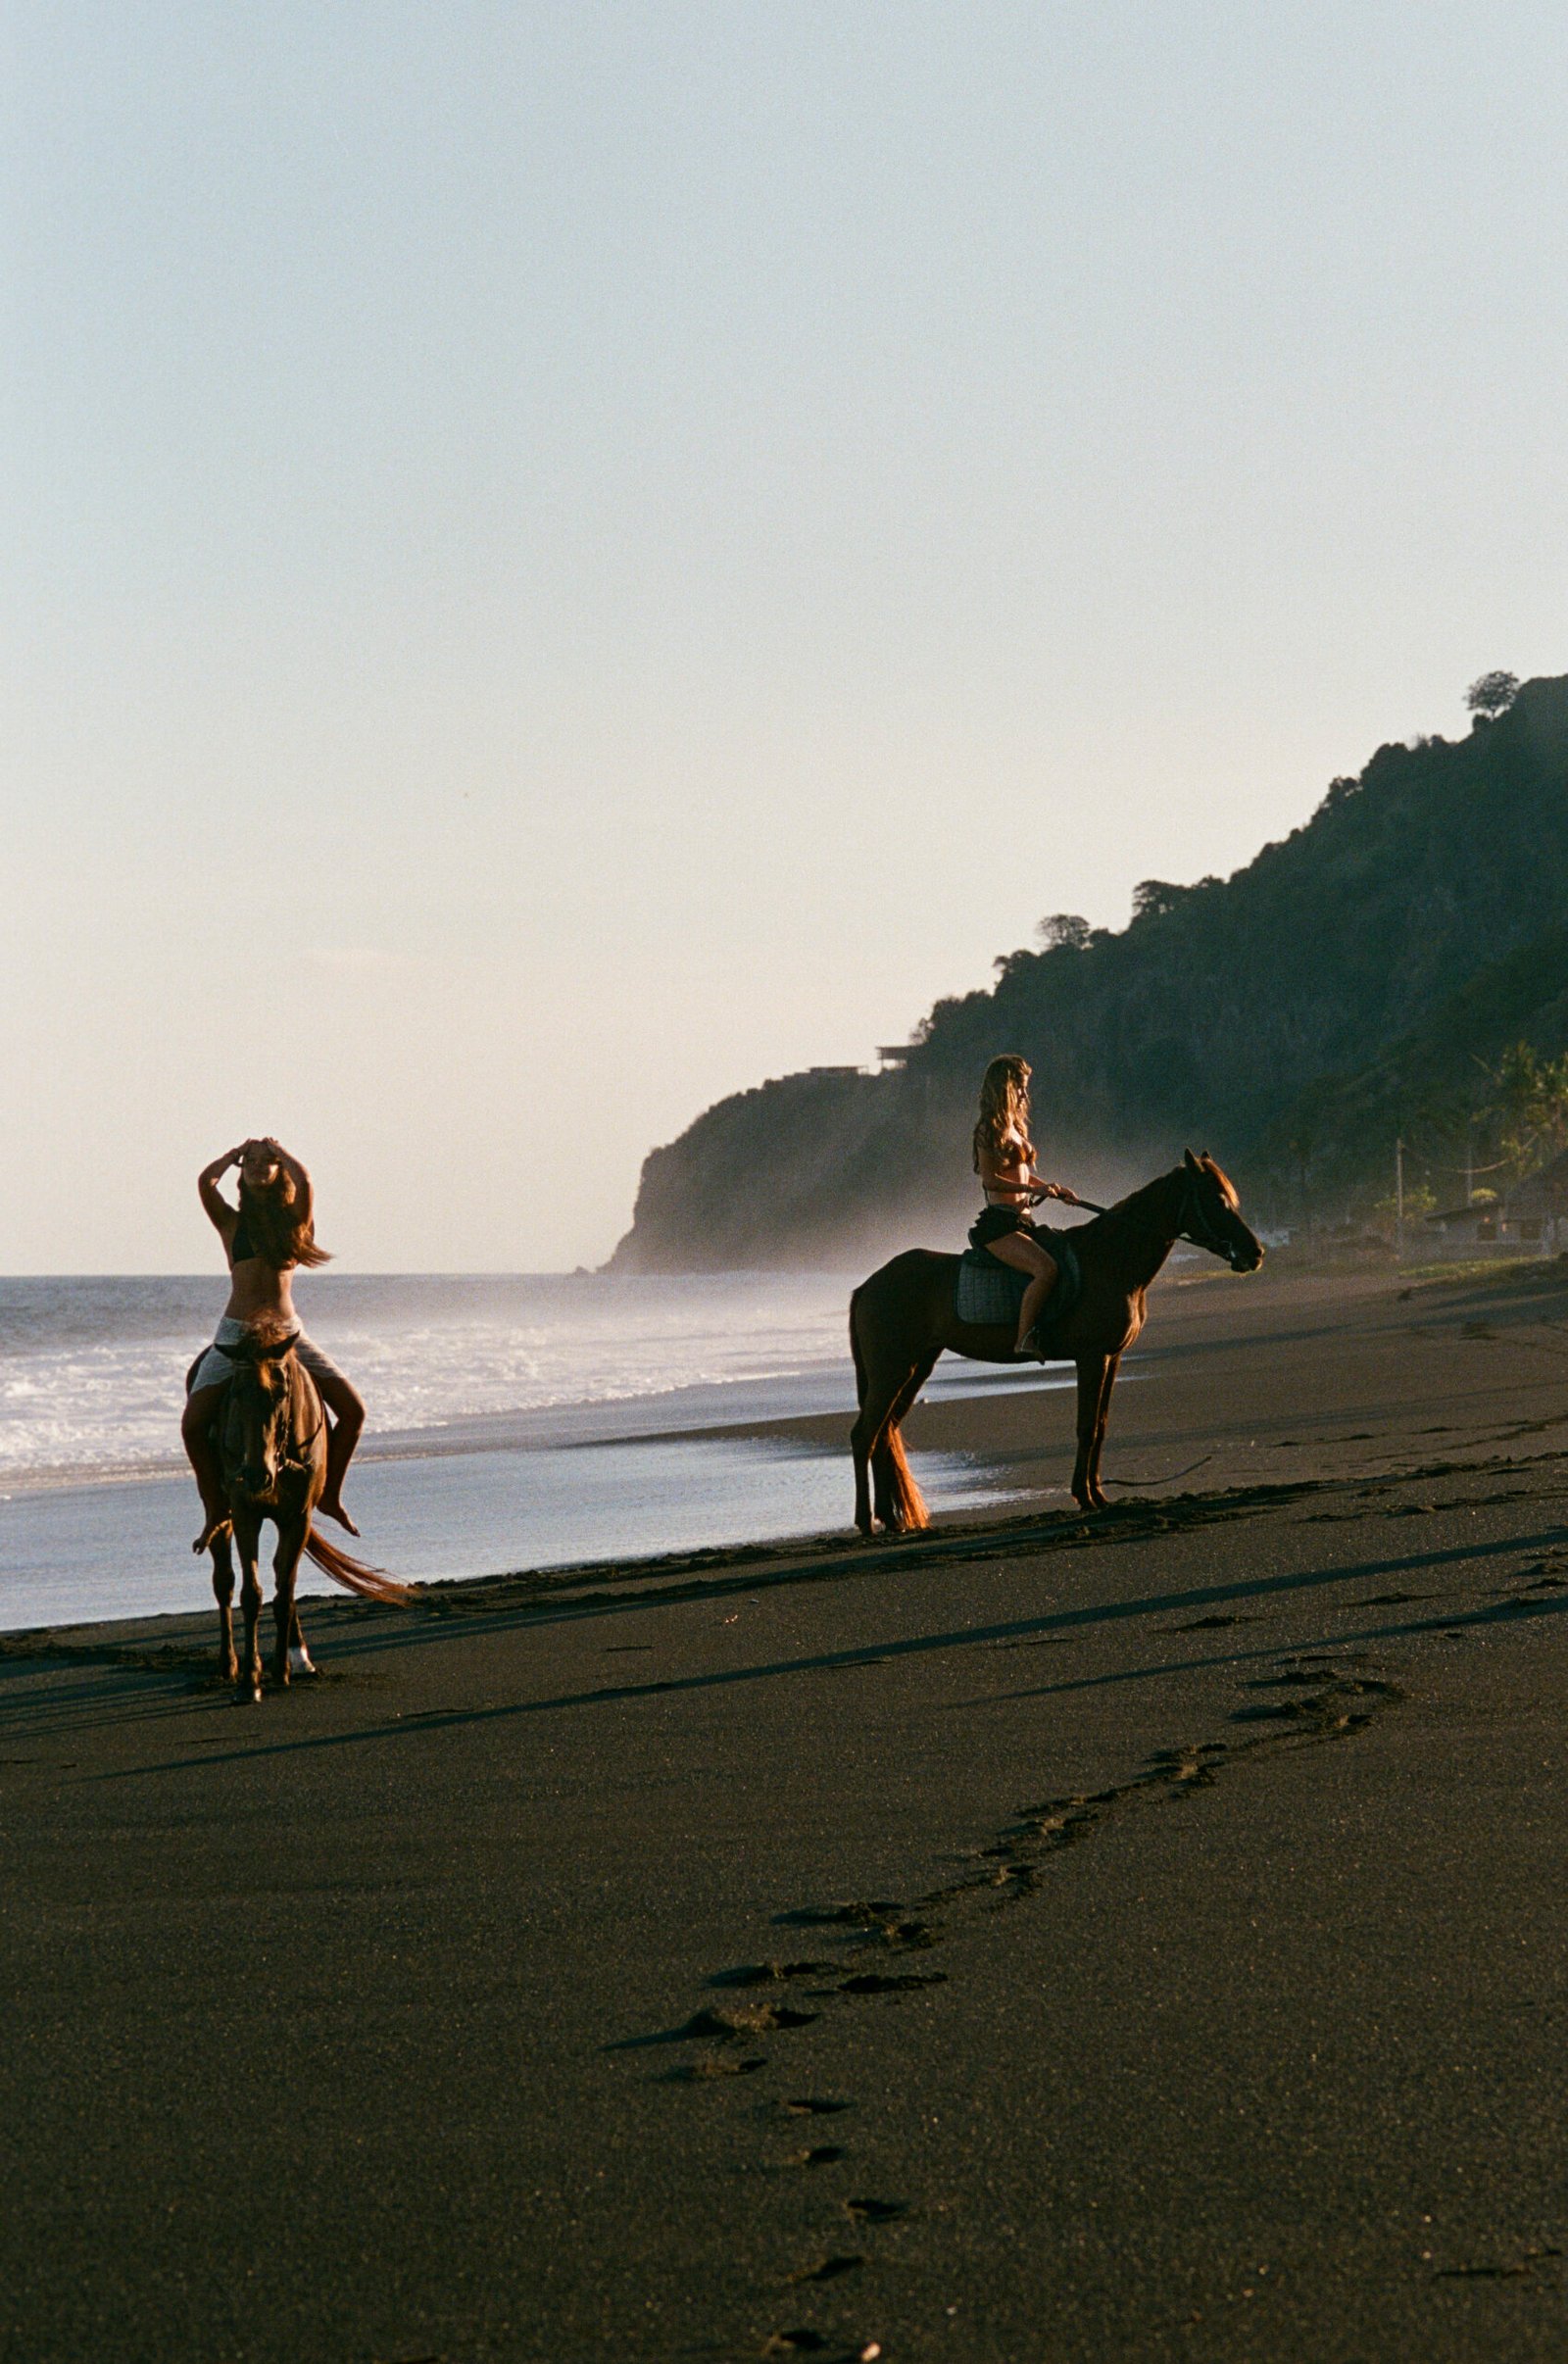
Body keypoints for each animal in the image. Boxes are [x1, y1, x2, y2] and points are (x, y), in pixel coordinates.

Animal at [204, 1332, 411, 1701]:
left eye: (281, 1393)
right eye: (236, 1392)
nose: (256, 1475)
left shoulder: (298, 1517)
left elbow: (284, 1591)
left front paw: (283, 1667)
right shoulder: (245, 1513)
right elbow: (251, 1594)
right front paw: (250, 1680)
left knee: (282, 1577)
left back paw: (296, 1655)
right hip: (222, 1513)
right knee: (224, 1578)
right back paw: (230, 1663)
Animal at [848, 1151, 1264, 1536]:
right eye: (1218, 1200)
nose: (1255, 1253)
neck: (1110, 1260)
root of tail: (867, 1285)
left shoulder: (1111, 1358)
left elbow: (1101, 1424)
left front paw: (1098, 1495)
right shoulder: (1092, 1357)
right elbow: (1087, 1426)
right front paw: (1085, 1496)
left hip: (915, 1366)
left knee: (883, 1433)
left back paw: (891, 1519)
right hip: (892, 1370)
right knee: (864, 1435)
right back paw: (866, 1522)